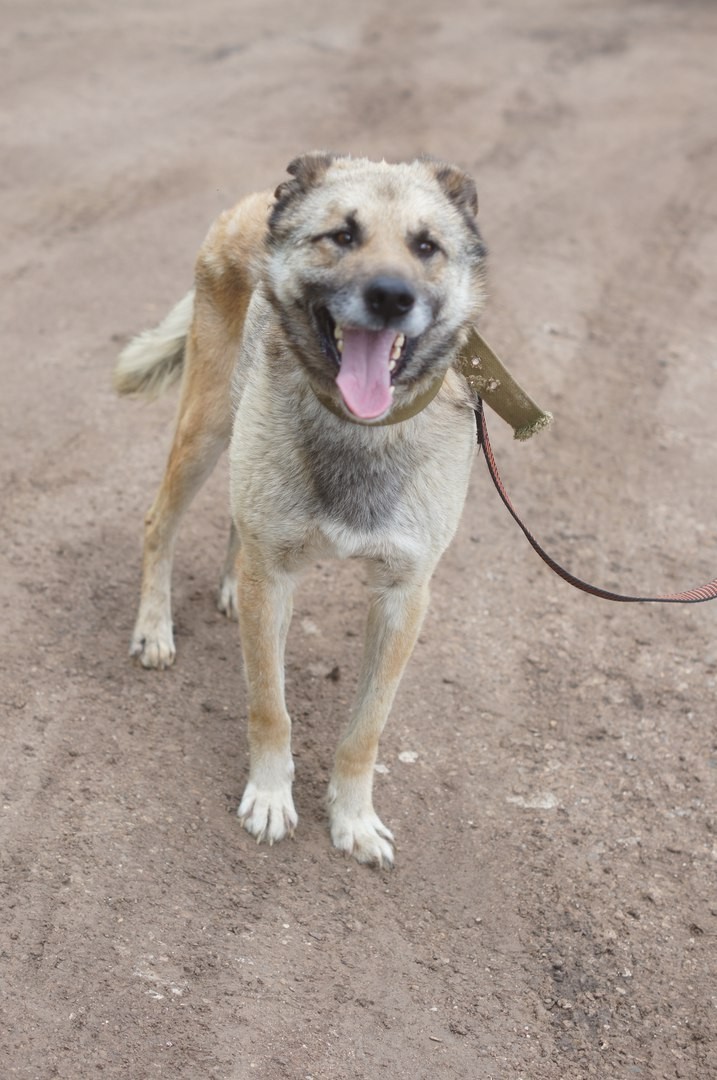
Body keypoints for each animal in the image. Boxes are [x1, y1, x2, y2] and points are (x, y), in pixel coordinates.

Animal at [115, 152, 488, 864]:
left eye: (427, 247)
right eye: (342, 235)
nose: (392, 298)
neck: (357, 428)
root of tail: (253, 201)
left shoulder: (404, 597)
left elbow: (367, 727)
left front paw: (353, 818)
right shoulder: (277, 580)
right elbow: (270, 706)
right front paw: (268, 795)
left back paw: (228, 587)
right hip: (208, 430)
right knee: (157, 525)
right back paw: (154, 627)